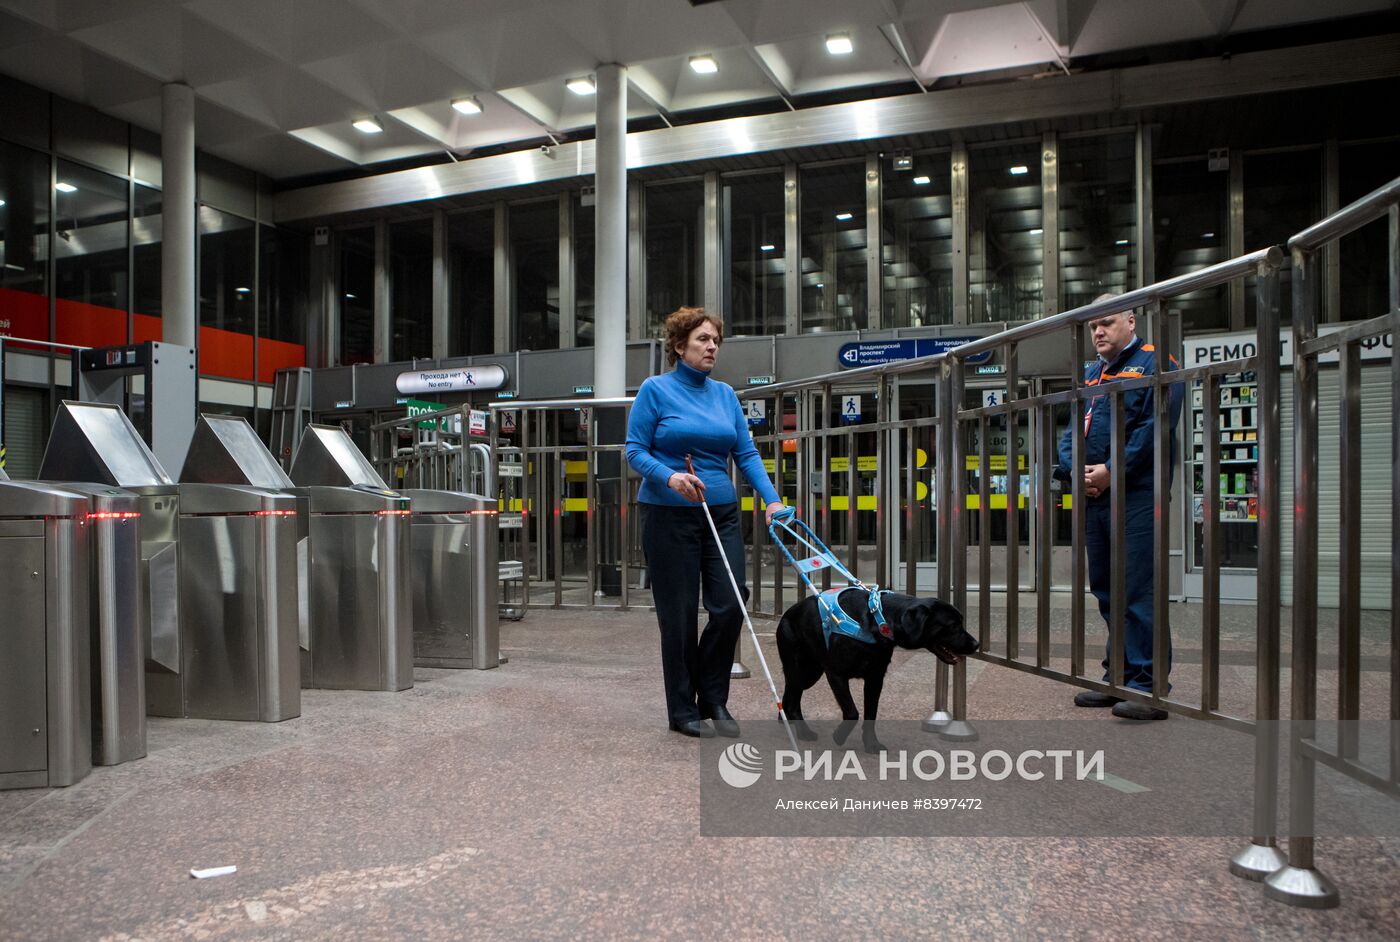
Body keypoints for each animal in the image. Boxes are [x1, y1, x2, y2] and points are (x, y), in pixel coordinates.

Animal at [778, 590, 974, 755]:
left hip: (810, 672)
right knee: (793, 700)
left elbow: (871, 715)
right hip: (800, 670)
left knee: (789, 695)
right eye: (953, 625)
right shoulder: (836, 674)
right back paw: (803, 731)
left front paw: (871, 744)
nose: (976, 644)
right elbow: (852, 713)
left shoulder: (875, 679)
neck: (878, 618)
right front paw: (839, 736)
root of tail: (786, 614)